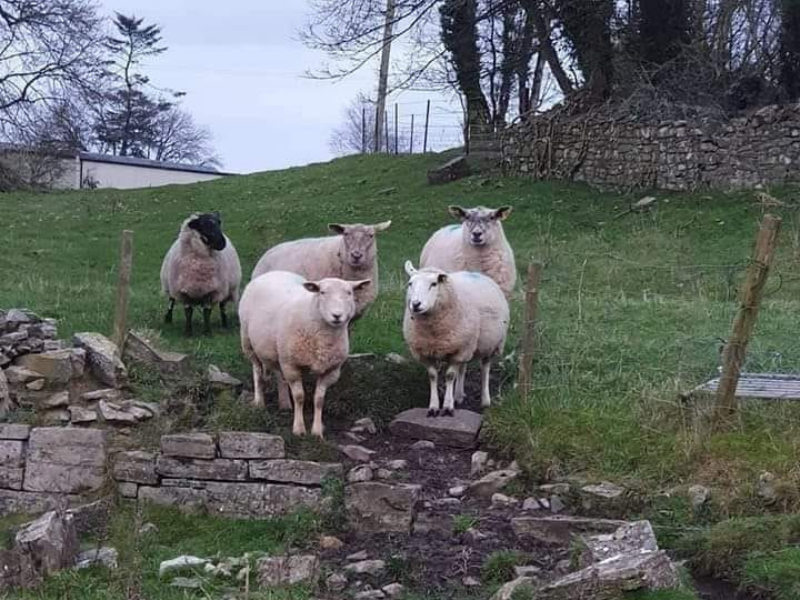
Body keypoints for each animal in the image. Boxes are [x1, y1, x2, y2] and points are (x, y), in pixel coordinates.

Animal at [239, 270, 370, 438]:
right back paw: (259, 402)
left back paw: (285, 404)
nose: (337, 315)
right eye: (322, 292)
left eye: (349, 293)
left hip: (279, 351)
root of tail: (273, 272)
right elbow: (299, 397)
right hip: (248, 341)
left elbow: (319, 399)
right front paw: (299, 429)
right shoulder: (292, 365)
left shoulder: (331, 370)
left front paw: (317, 431)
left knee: (279, 374)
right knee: (257, 371)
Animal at [402, 261, 509, 417]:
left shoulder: (459, 350)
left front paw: (447, 407)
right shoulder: (425, 352)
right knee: (463, 369)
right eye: (410, 283)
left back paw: (485, 400)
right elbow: (433, 376)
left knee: (485, 369)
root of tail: (475, 273)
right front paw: (433, 407)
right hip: (467, 344)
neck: (433, 333)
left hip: (490, 344)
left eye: (434, 284)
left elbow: (450, 376)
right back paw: (458, 396)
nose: (415, 304)